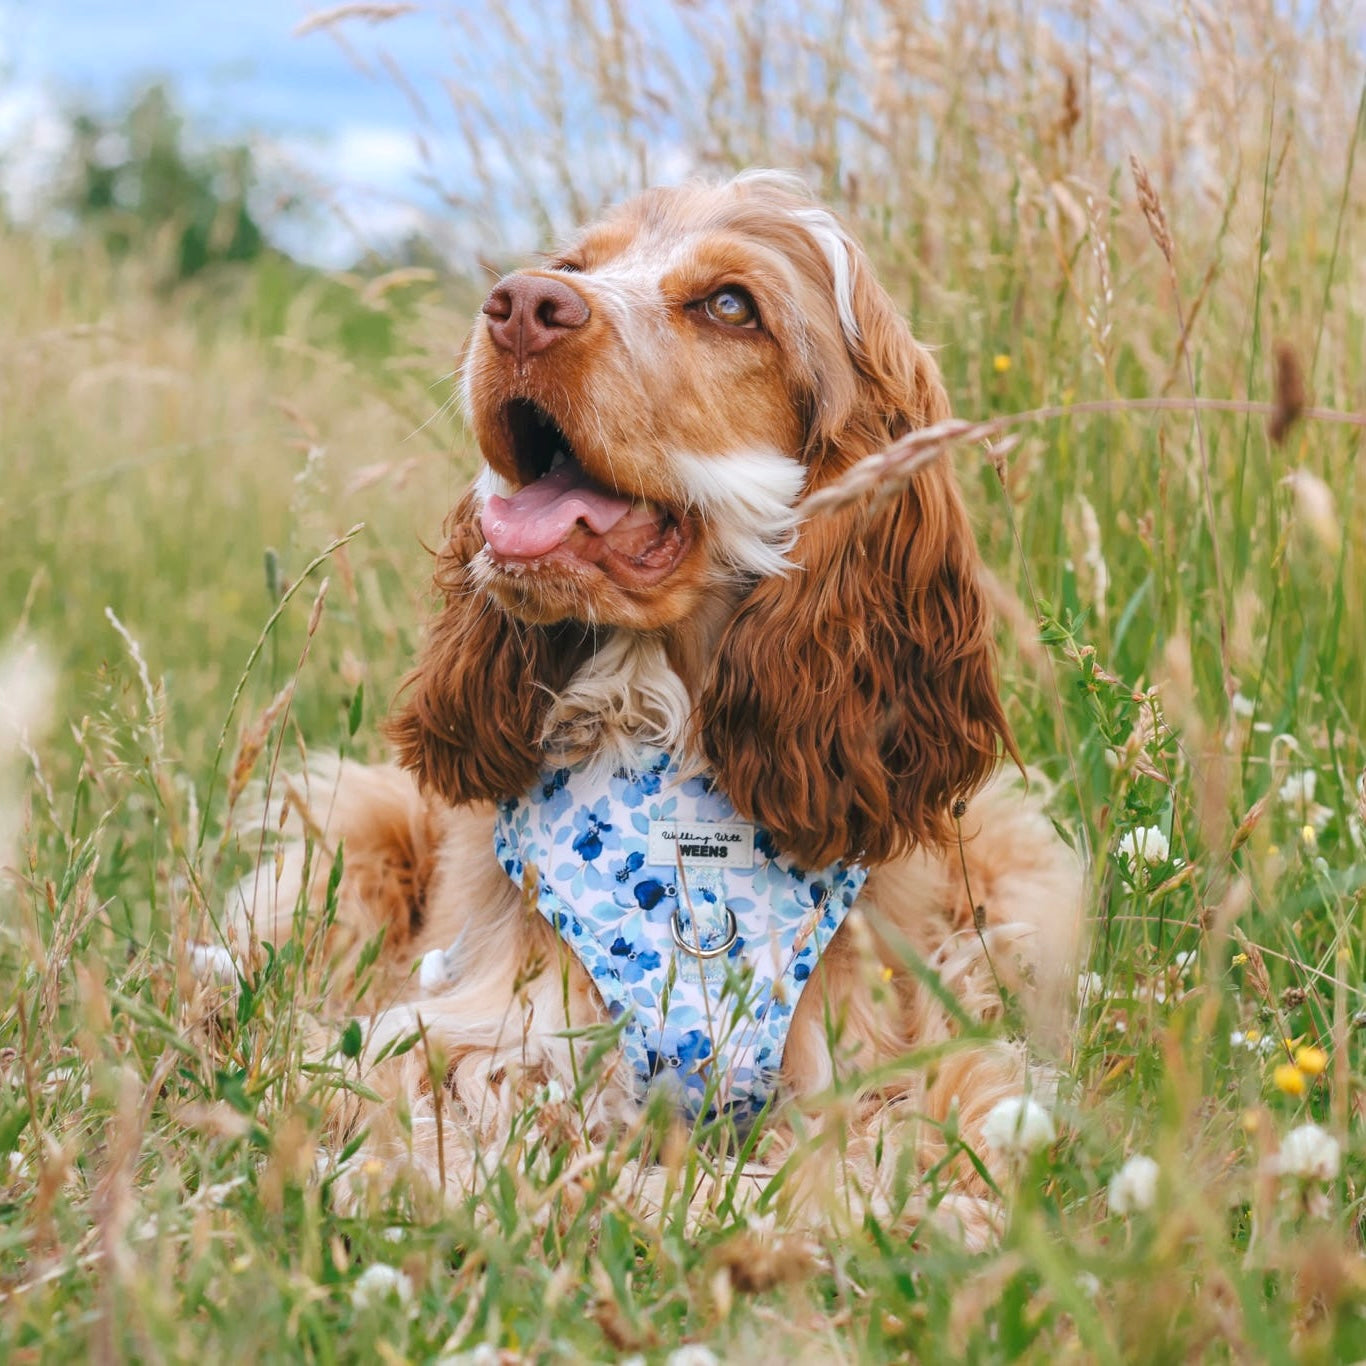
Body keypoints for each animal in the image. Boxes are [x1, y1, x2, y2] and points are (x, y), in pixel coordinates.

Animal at [237, 168, 1087, 1240]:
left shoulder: (892, 1066)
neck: (671, 743)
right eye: (572, 265)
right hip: (353, 838)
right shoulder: (472, 1043)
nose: (519, 306)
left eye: (731, 305)